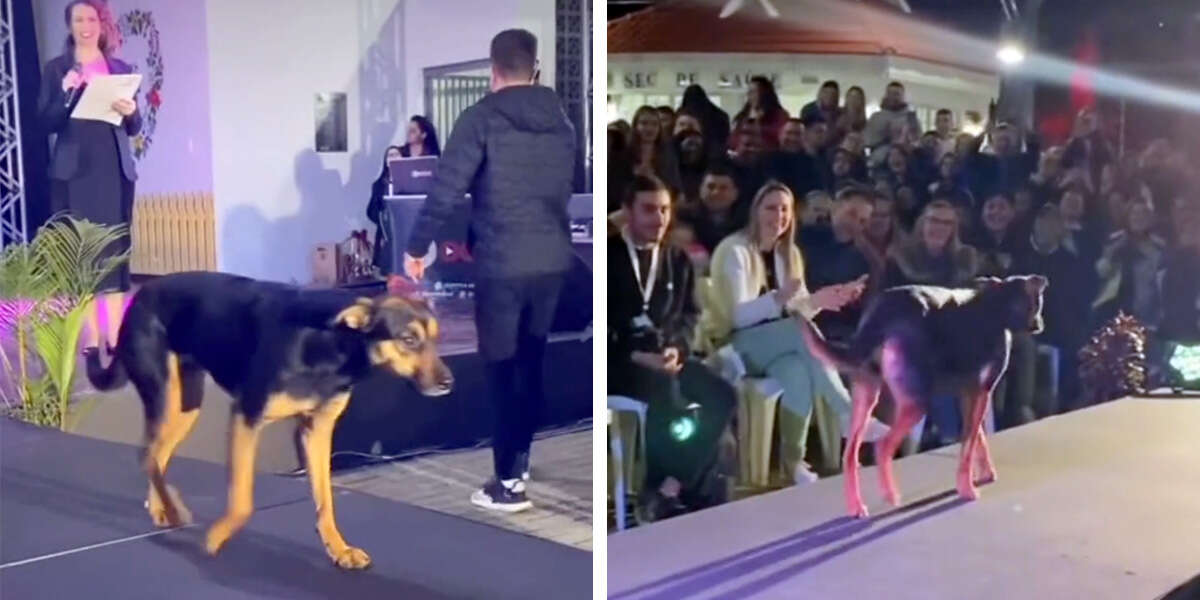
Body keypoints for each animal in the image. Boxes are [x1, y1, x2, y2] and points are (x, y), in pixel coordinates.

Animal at [83, 271, 451, 566]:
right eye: (408, 340)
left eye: (436, 339)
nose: (449, 383)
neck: (332, 343)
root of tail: (141, 294)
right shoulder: (247, 416)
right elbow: (243, 500)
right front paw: (217, 537)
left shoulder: (317, 430)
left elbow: (325, 499)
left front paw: (338, 549)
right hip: (164, 395)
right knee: (147, 454)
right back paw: (173, 510)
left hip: (186, 407)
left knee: (155, 456)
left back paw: (162, 508)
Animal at [801, 274, 1046, 518]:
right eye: (1037, 302)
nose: (1040, 324)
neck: (998, 303)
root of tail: (884, 309)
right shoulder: (981, 392)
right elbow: (968, 445)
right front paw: (967, 488)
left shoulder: (969, 394)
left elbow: (978, 439)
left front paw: (984, 473)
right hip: (916, 404)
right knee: (883, 446)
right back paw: (890, 494)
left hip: (866, 397)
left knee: (850, 455)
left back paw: (856, 506)